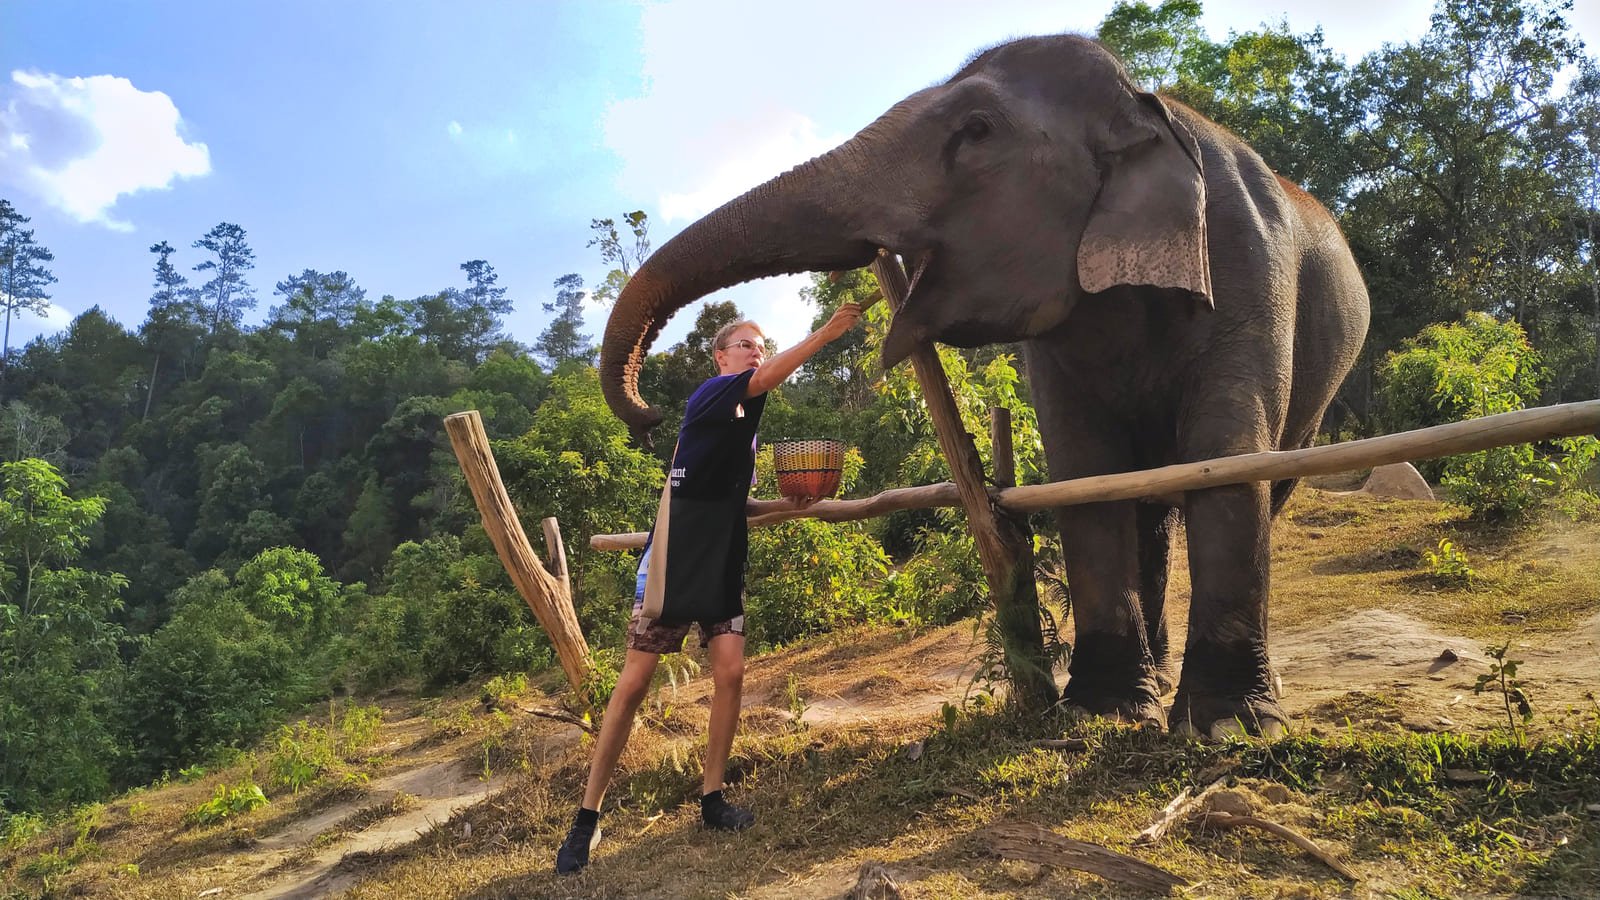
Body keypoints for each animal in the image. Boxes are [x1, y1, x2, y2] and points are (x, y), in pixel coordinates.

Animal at [595, 35, 1369, 736]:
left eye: (976, 131)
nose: (649, 415)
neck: (1143, 106)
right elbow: (1084, 473)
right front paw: (1102, 712)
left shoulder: (1248, 271)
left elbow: (1227, 457)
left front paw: (1226, 726)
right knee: (1145, 505)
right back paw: (1151, 676)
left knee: (1262, 482)